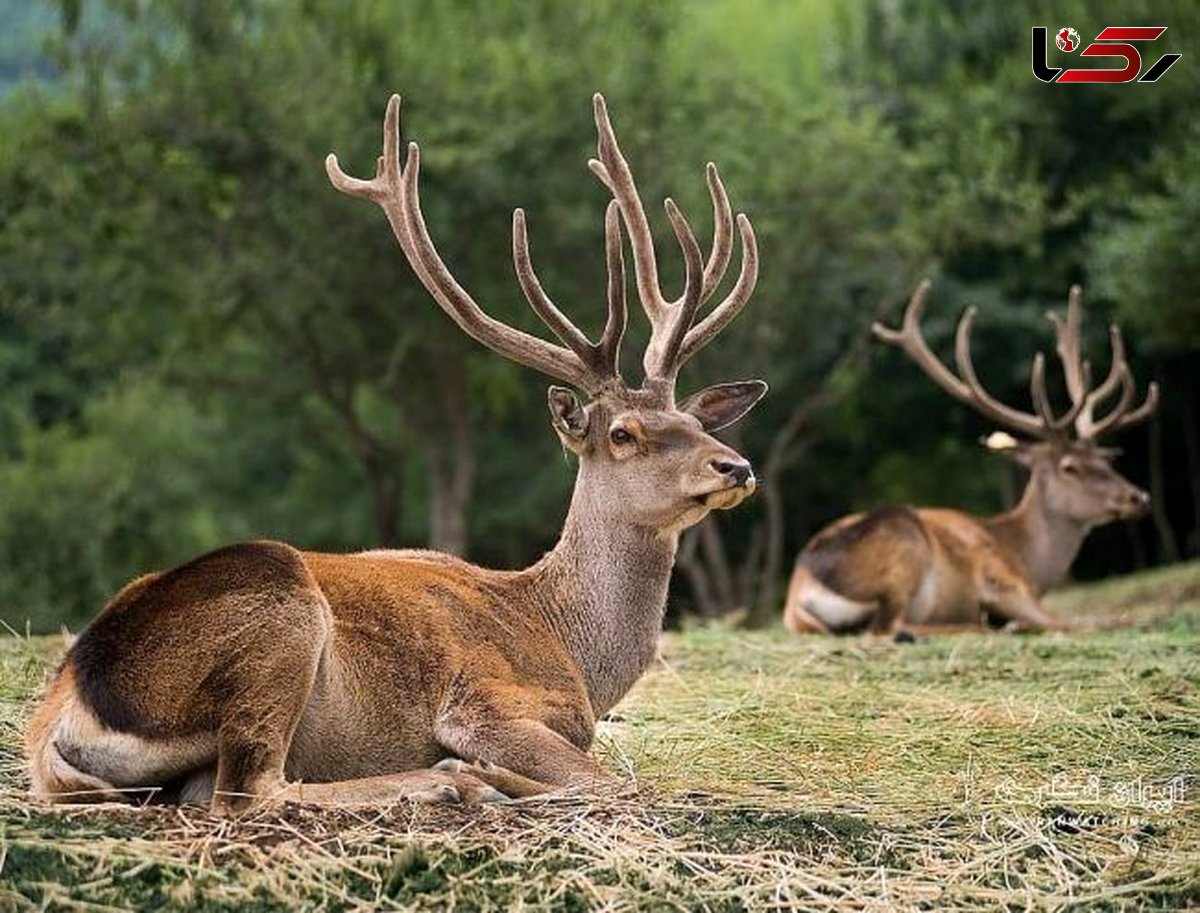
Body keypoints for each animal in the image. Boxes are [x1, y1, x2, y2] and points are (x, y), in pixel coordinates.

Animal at [30, 92, 768, 806]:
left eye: (696, 420)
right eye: (623, 433)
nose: (736, 465)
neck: (571, 648)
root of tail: (60, 715)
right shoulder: (484, 703)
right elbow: (615, 782)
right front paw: (483, 772)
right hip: (278, 614)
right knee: (246, 791)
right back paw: (455, 781)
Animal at [782, 281, 1156, 638]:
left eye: (1105, 460)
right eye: (1070, 467)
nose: (1138, 497)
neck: (1024, 558)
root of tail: (799, 592)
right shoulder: (999, 577)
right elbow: (1075, 621)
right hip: (903, 546)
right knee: (889, 626)